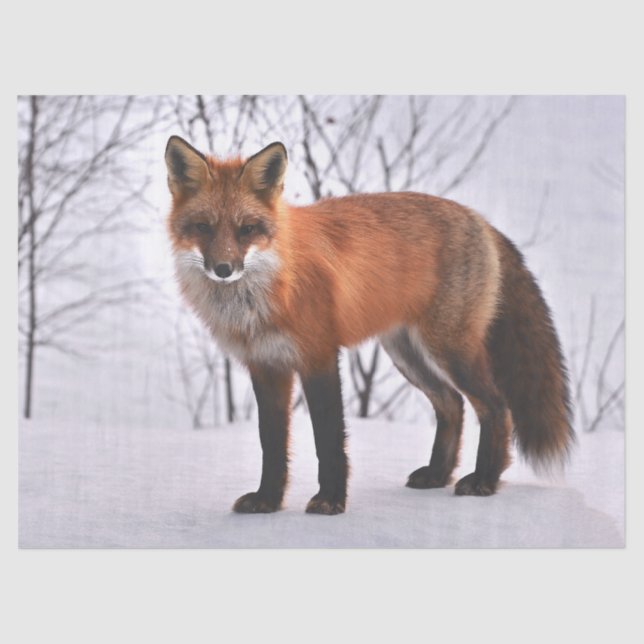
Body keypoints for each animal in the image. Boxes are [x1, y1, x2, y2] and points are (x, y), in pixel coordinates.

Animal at [164, 135, 574, 515]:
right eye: (203, 227)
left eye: (247, 229)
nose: (223, 269)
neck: (267, 291)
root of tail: (479, 219)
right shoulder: (266, 366)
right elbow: (272, 444)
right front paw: (268, 501)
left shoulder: (319, 356)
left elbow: (328, 439)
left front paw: (330, 500)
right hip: (407, 354)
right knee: (452, 404)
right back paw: (438, 474)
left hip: (450, 350)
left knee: (496, 407)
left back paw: (485, 480)